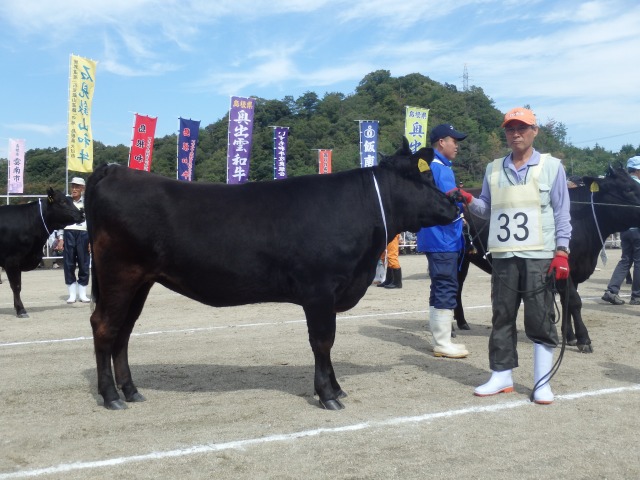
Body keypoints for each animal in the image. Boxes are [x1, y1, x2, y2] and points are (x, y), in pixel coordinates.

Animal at [0, 188, 85, 318]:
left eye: (71, 200)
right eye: (62, 201)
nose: (82, 214)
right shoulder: (12, 260)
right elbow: (16, 286)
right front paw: (21, 310)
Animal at [458, 166, 640, 352]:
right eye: (628, 189)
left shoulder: (571, 270)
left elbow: (566, 303)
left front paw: (570, 337)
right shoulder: (566, 271)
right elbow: (575, 302)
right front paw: (584, 339)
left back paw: (462, 322)